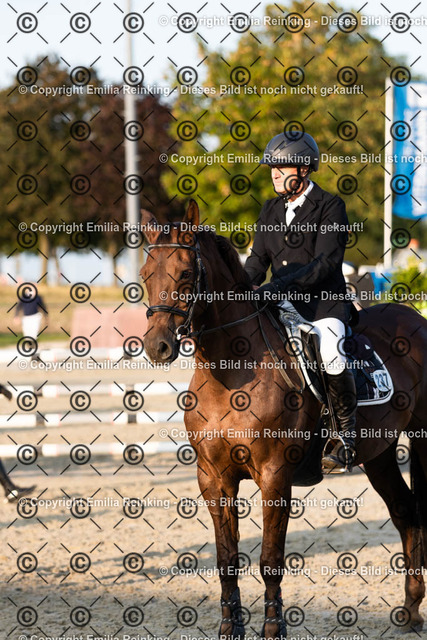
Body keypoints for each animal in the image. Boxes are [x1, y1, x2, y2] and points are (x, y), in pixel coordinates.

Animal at [140, 200, 427, 639]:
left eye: (187, 273)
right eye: (144, 274)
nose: (158, 346)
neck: (231, 369)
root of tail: (415, 317)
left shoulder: (275, 475)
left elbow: (270, 560)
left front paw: (274, 628)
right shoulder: (213, 478)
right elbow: (227, 561)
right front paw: (230, 628)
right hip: (377, 453)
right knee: (406, 513)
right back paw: (410, 611)